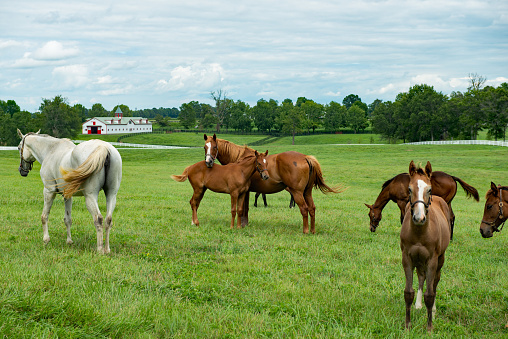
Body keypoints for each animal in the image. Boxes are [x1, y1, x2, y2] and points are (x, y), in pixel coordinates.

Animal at [202, 134, 342, 235]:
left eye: (214, 147)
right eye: (204, 147)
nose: (208, 162)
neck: (240, 159)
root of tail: (305, 157)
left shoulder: (244, 191)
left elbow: (244, 209)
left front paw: (242, 225)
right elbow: (245, 208)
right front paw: (244, 224)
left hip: (297, 192)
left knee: (304, 209)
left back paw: (305, 231)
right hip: (307, 192)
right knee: (312, 208)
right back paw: (312, 230)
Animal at [398, 161, 450, 332]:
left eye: (429, 189)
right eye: (409, 189)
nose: (419, 218)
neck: (420, 232)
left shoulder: (432, 260)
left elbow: (430, 293)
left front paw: (429, 327)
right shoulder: (407, 258)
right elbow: (408, 292)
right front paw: (407, 325)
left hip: (440, 258)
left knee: (435, 281)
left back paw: (432, 310)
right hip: (419, 259)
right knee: (421, 276)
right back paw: (418, 305)